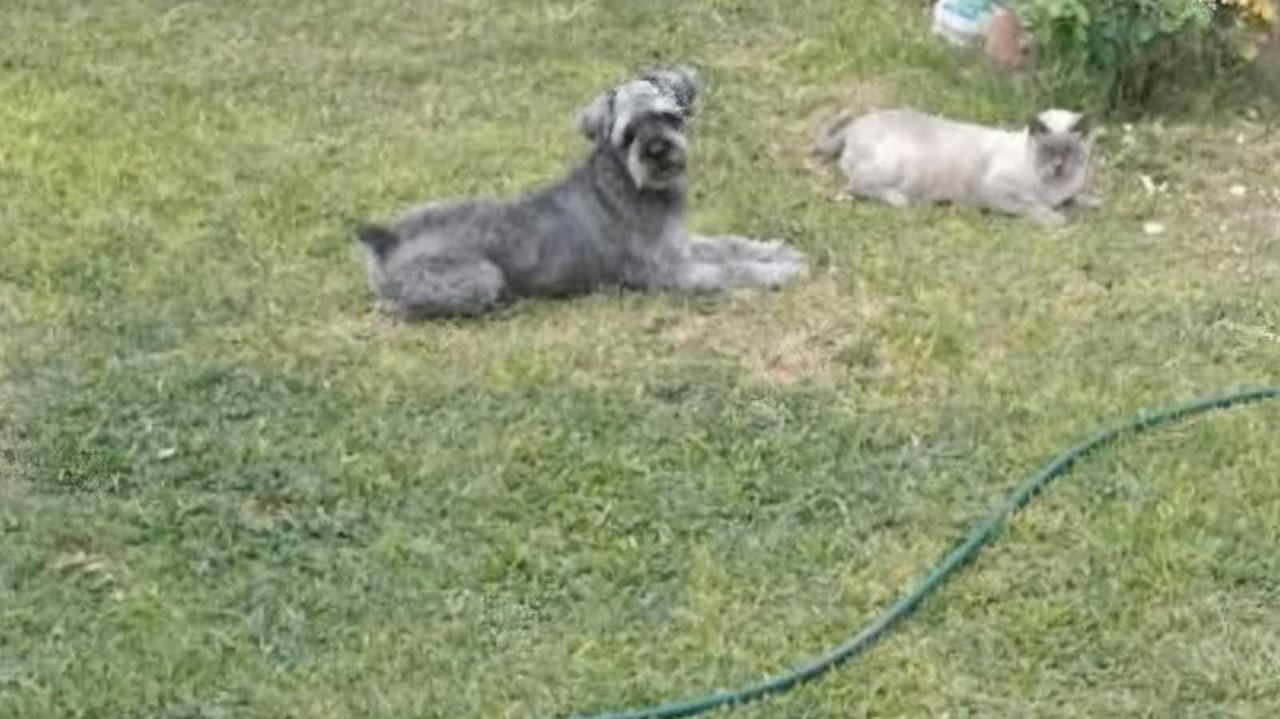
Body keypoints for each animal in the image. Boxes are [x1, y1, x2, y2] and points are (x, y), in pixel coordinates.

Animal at [355, 64, 803, 316]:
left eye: (668, 116)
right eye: (628, 134)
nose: (658, 152)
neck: (630, 186)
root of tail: (386, 240)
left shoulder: (682, 245)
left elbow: (731, 244)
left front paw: (778, 251)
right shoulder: (674, 273)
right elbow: (731, 269)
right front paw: (781, 272)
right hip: (483, 278)